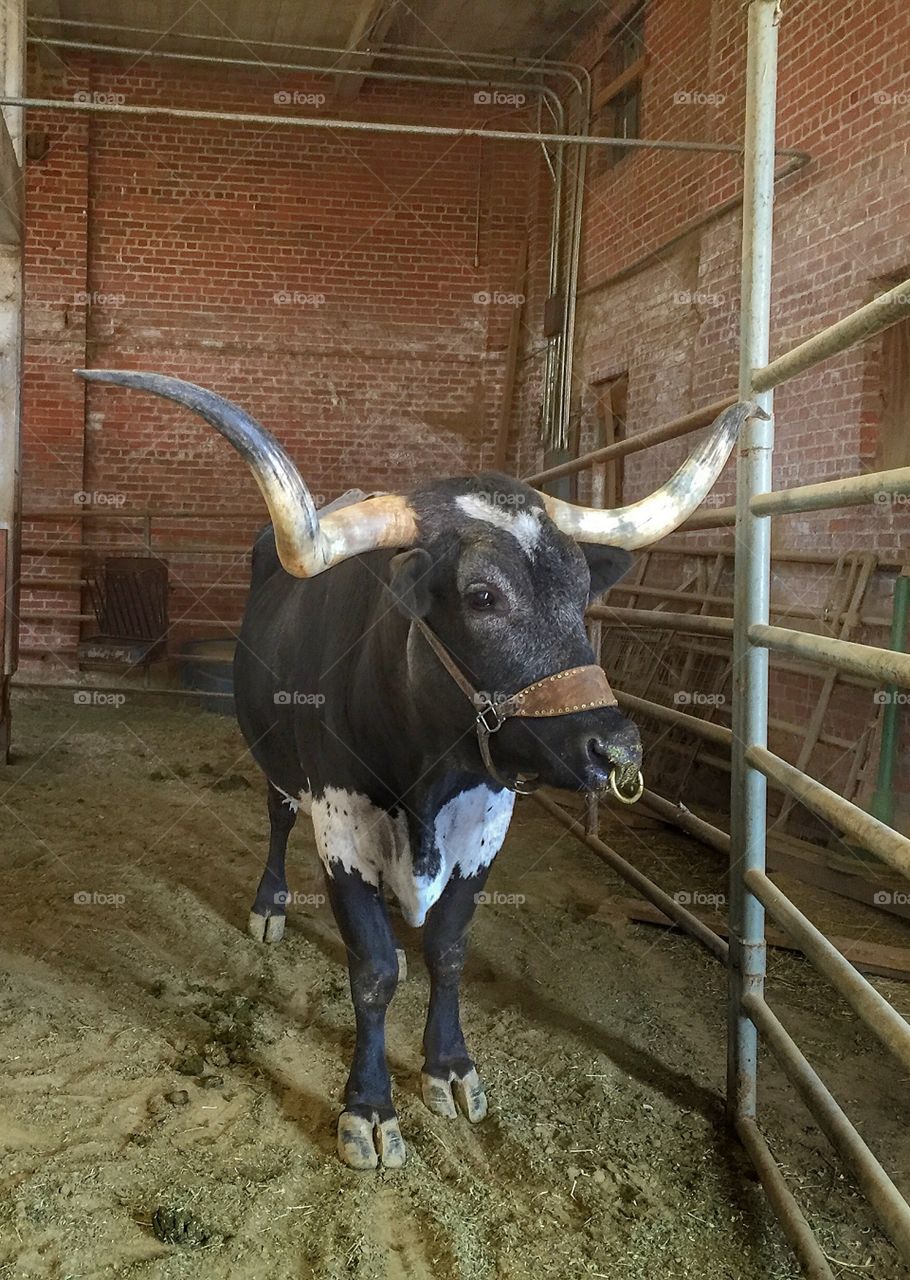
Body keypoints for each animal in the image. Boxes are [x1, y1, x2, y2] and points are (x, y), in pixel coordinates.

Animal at [75, 369, 751, 1170]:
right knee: (276, 818)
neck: (427, 773)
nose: (616, 751)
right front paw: (368, 1107)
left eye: (582, 592)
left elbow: (449, 952)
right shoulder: (342, 830)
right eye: (482, 595)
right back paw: (271, 904)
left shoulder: (484, 829)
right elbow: (374, 972)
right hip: (274, 758)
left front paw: (450, 1067)